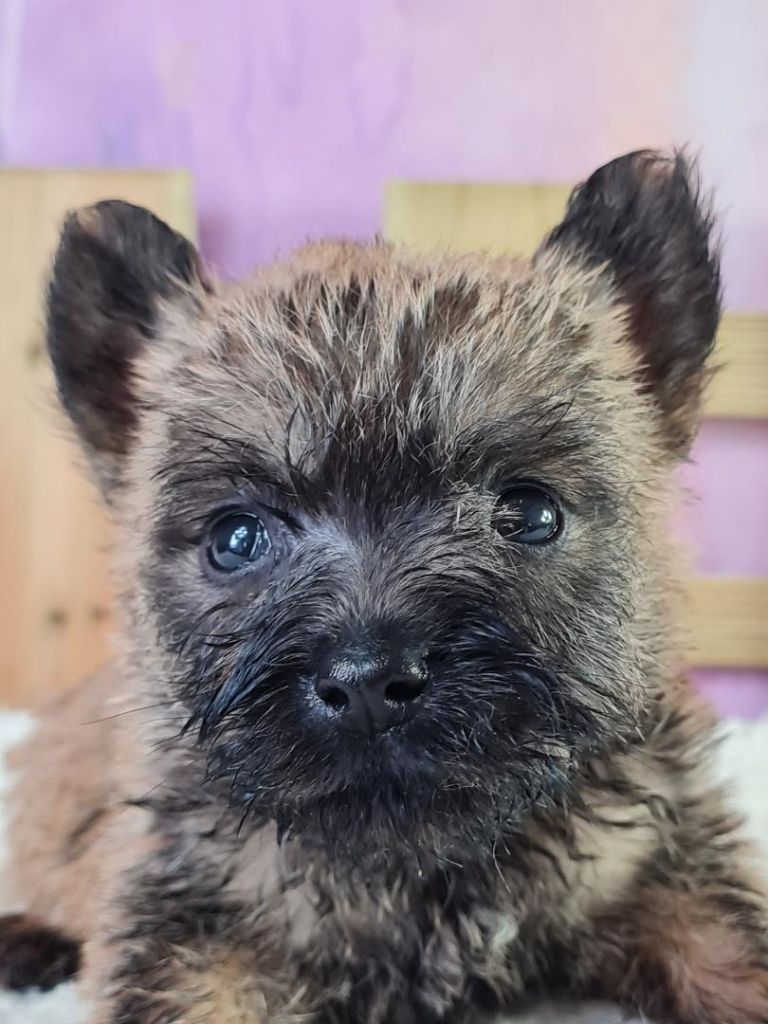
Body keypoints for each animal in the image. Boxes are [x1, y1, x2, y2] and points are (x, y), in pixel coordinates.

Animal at [1, 148, 768, 1019]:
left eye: (531, 512)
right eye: (236, 538)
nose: (368, 680)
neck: (416, 867)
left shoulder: (677, 874)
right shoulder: (191, 932)